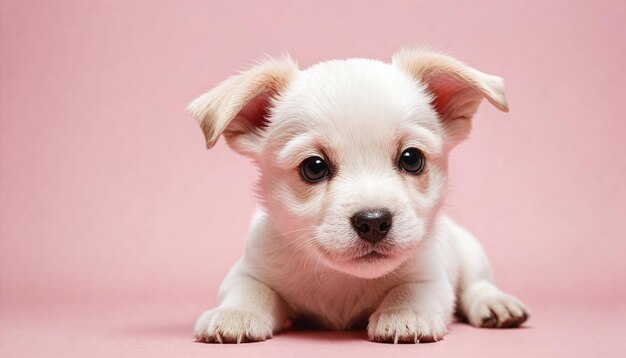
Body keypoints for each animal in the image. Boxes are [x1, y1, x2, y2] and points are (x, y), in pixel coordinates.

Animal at [186, 48, 528, 344]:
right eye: (314, 167)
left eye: (412, 159)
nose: (374, 221)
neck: (344, 279)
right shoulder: (248, 270)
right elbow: (250, 289)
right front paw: (234, 313)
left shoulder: (430, 276)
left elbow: (411, 289)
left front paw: (404, 313)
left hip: (469, 250)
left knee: (477, 283)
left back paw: (495, 303)